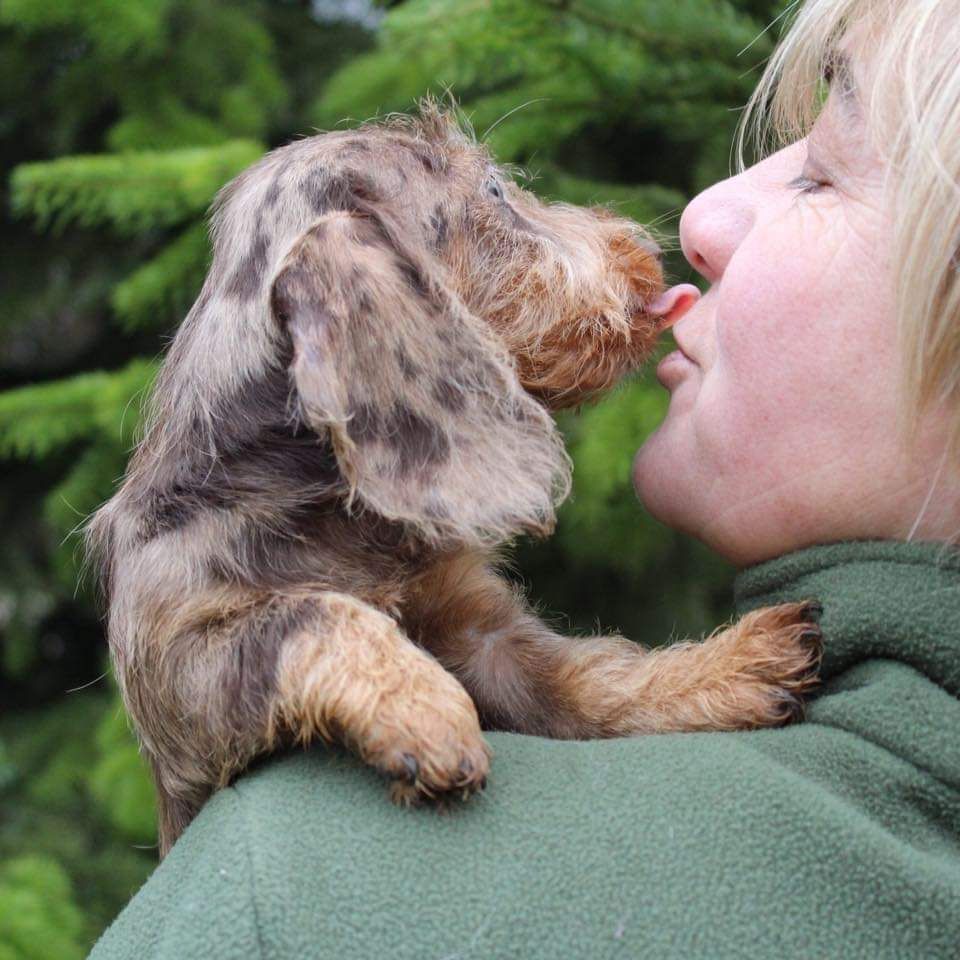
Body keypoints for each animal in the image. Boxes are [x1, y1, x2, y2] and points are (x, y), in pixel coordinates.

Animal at [90, 105, 820, 856]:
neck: (325, 501)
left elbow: (596, 676)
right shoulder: (178, 677)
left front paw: (732, 664)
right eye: (495, 191)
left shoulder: (485, 635)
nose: (646, 247)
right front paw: (423, 707)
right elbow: (316, 613)